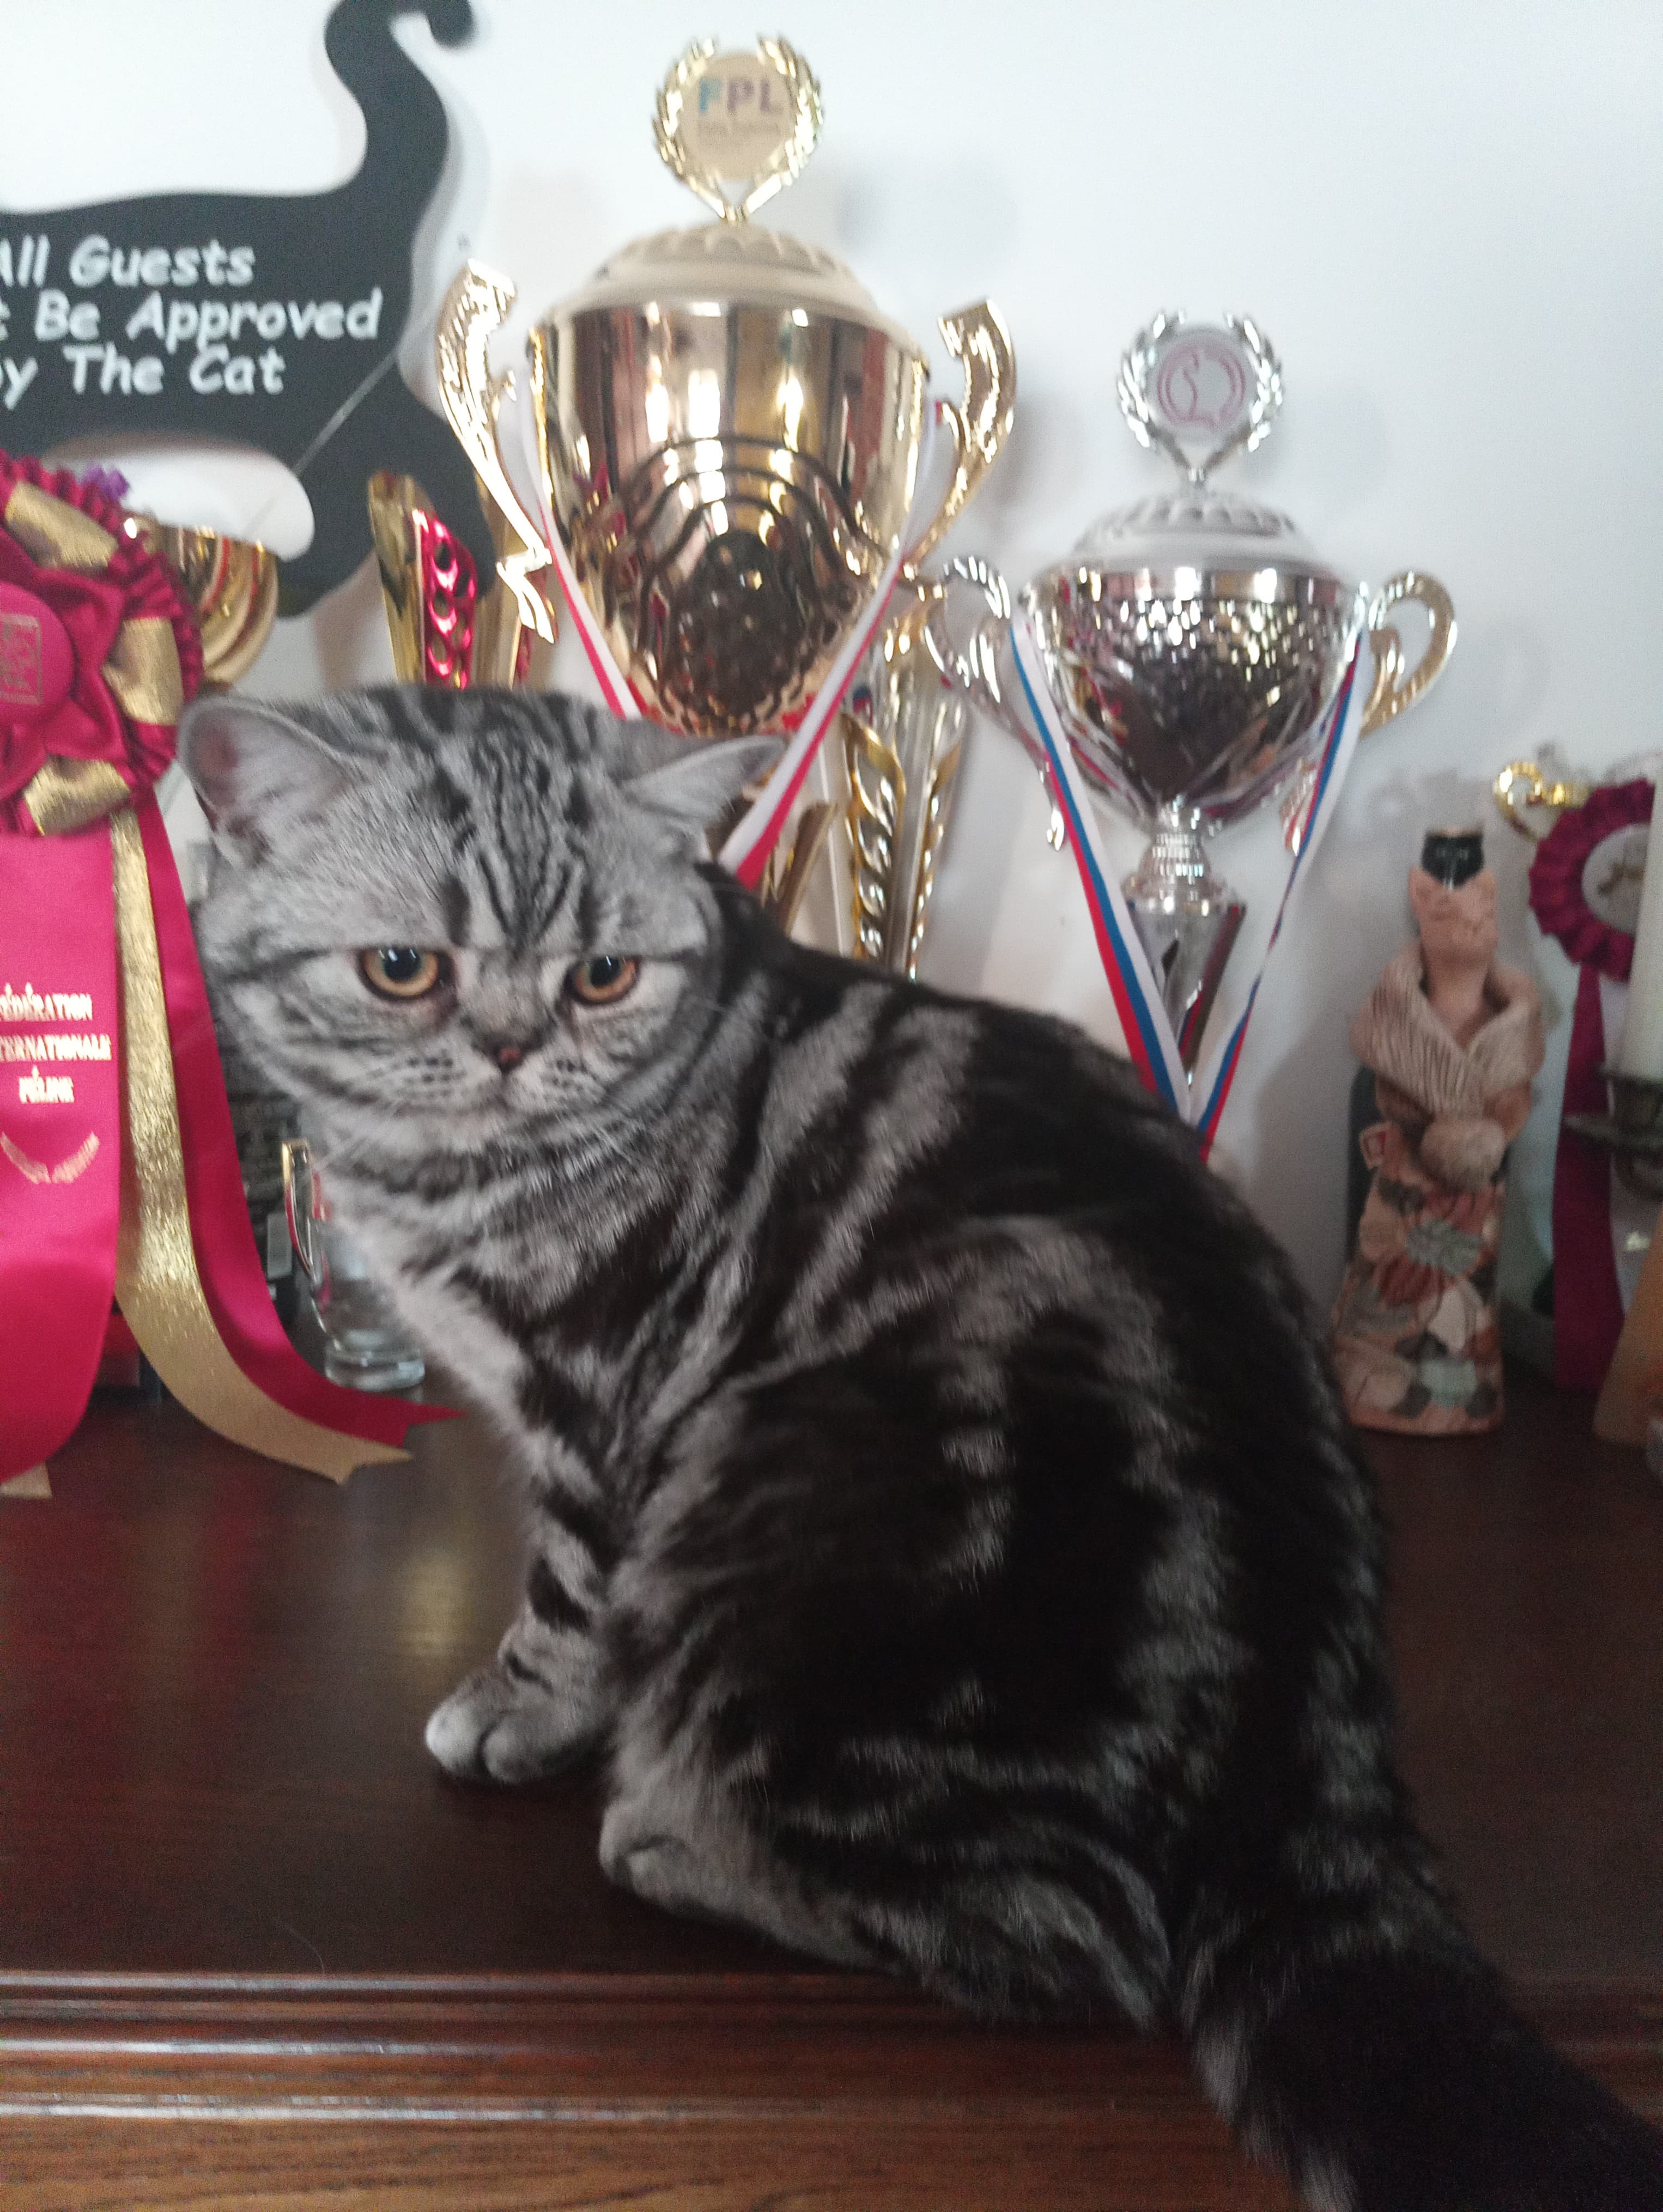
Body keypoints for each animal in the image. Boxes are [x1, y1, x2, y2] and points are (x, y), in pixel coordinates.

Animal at [179, 683, 1663, 2212]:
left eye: (599, 976)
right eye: (402, 968)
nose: (513, 1047)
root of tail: (1305, 1747)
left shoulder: (604, 1411)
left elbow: (571, 1603)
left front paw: (518, 1704)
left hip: (793, 1511)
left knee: (1073, 1941)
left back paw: (673, 1837)